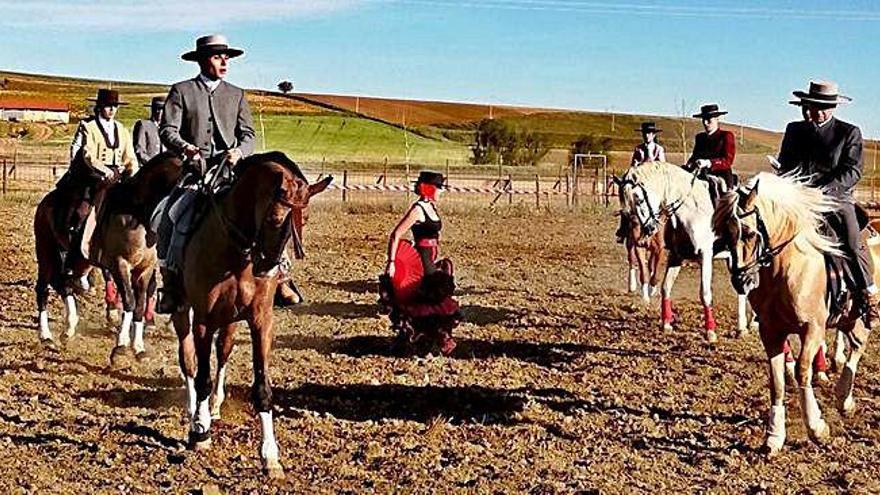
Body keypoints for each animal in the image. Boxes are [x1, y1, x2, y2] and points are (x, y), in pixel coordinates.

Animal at [34, 153, 184, 358]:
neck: (137, 213)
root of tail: (46, 202)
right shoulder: (119, 265)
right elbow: (129, 301)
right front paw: (121, 345)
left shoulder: (144, 270)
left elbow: (139, 305)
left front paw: (139, 347)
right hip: (45, 251)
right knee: (43, 288)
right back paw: (46, 336)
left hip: (81, 261)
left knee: (63, 283)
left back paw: (69, 328)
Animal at [168, 153, 330, 478]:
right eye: (274, 218)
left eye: (304, 220)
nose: (269, 268)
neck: (237, 252)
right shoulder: (203, 319)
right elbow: (202, 376)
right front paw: (200, 432)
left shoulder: (260, 321)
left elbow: (262, 387)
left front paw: (270, 455)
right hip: (183, 311)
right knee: (189, 360)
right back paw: (195, 412)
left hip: (229, 320)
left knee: (223, 351)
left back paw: (214, 407)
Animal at [616, 163, 752, 340]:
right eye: (626, 207)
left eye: (639, 198)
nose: (649, 229)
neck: (691, 212)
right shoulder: (676, 257)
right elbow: (665, 287)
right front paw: (666, 324)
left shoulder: (705, 255)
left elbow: (705, 294)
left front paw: (710, 332)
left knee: (744, 286)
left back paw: (744, 327)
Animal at [716, 173, 872, 458]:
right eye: (725, 233)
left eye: (751, 233)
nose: (741, 281)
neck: (786, 268)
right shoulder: (771, 332)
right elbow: (777, 381)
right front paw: (774, 437)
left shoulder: (812, 329)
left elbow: (802, 372)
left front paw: (817, 428)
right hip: (850, 318)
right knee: (857, 344)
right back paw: (845, 399)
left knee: (859, 345)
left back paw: (842, 396)